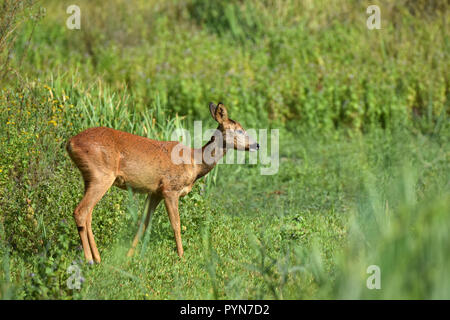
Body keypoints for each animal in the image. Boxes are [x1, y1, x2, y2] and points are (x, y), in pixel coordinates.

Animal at [65, 102, 258, 262]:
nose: (257, 145)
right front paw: (181, 256)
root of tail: (70, 143)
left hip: (89, 177)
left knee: (88, 213)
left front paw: (129, 256)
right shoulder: (170, 189)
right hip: (101, 175)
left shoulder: (154, 192)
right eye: (239, 130)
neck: (195, 163)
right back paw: (90, 260)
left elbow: (143, 223)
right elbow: (176, 224)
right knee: (81, 211)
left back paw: (97, 258)